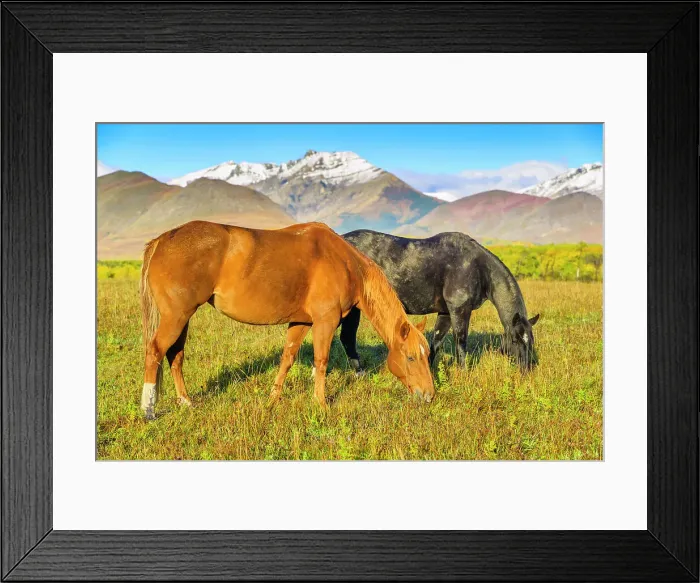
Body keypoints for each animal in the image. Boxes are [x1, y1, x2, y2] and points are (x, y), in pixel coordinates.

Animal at [139, 220, 434, 420]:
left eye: (427, 355)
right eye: (410, 357)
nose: (430, 395)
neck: (345, 263)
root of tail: (162, 240)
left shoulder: (301, 323)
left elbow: (287, 359)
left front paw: (273, 399)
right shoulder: (325, 322)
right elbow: (321, 361)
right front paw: (321, 404)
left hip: (183, 318)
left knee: (175, 355)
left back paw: (186, 401)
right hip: (176, 317)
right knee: (155, 351)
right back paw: (148, 409)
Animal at [338, 230, 540, 371]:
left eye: (530, 341)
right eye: (514, 340)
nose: (526, 370)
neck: (477, 267)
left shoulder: (446, 312)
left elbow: (436, 341)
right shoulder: (459, 310)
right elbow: (461, 342)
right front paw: (463, 372)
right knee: (347, 338)